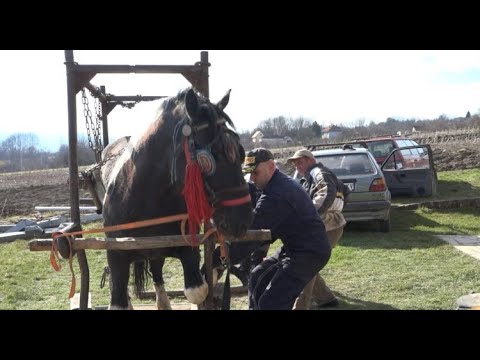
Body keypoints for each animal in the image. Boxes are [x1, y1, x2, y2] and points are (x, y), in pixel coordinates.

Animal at [100, 87, 253, 310]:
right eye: (212, 156)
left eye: (241, 152)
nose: (241, 222)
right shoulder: (116, 256)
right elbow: (118, 299)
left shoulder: (187, 246)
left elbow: (198, 290)